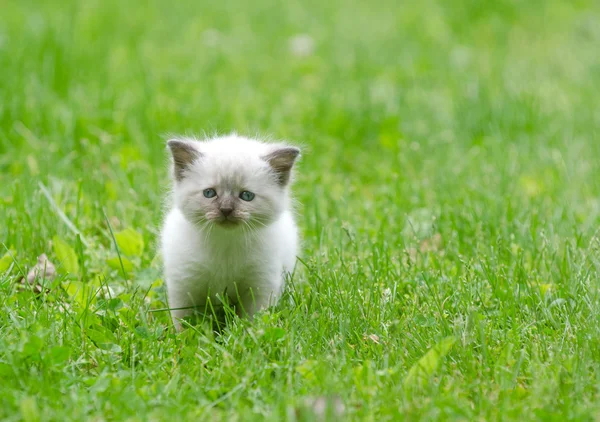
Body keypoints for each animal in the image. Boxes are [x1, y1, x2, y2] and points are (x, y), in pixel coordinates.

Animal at [159, 134, 300, 330]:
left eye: (247, 196)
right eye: (209, 193)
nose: (226, 210)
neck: (226, 242)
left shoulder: (260, 285)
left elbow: (253, 320)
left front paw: (249, 333)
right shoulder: (185, 285)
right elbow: (185, 322)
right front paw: (183, 337)